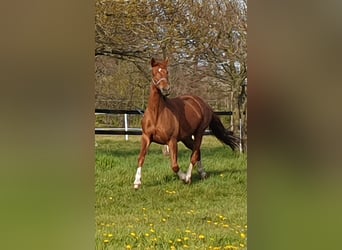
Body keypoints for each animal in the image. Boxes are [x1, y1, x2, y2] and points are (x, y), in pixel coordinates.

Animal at [132, 57, 239, 188]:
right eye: (154, 72)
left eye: (167, 72)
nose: (166, 89)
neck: (157, 114)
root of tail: (204, 104)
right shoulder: (146, 137)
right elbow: (141, 158)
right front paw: (137, 182)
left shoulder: (172, 141)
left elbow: (174, 165)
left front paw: (183, 178)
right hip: (186, 138)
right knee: (197, 152)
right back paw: (202, 174)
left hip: (199, 133)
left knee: (194, 154)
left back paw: (188, 177)